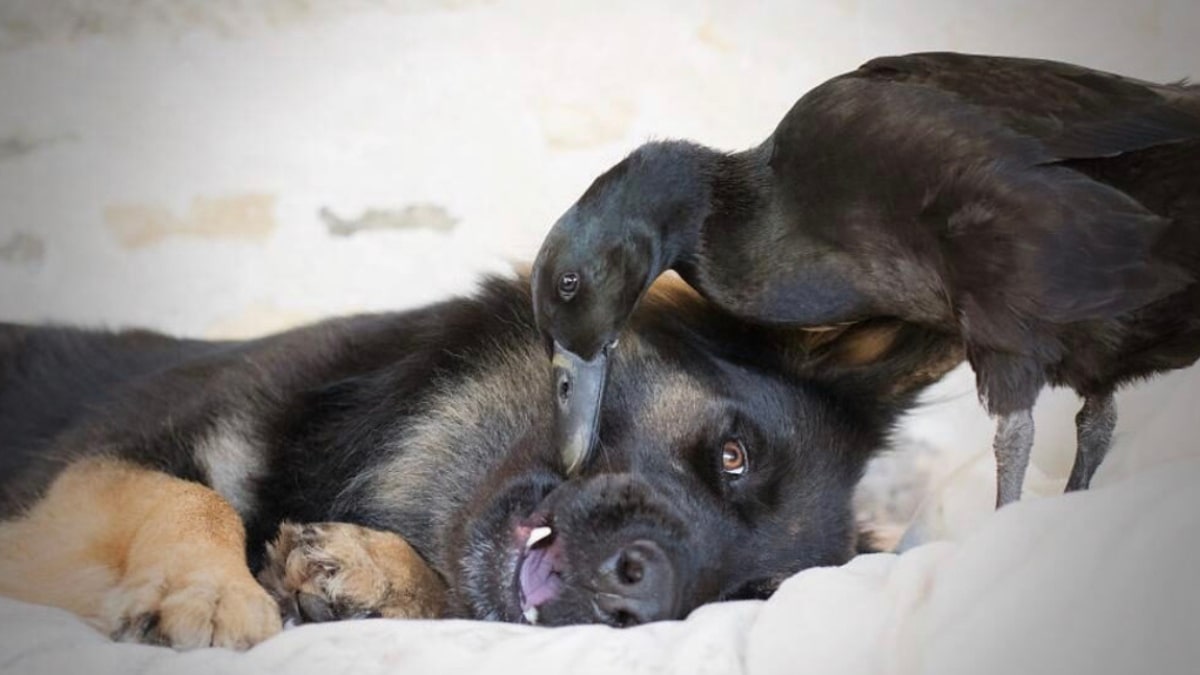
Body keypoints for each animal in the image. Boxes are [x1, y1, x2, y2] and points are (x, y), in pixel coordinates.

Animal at [0, 273, 960, 648]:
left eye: (744, 596)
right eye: (732, 452)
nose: (638, 595)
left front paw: (376, 574)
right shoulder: (74, 482)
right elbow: (194, 498)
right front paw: (206, 590)